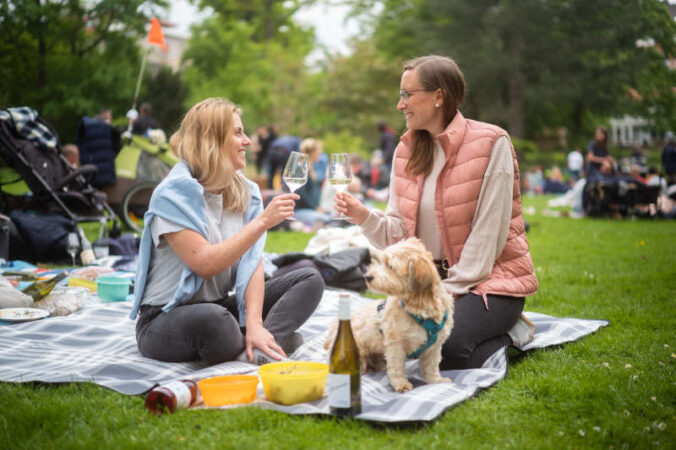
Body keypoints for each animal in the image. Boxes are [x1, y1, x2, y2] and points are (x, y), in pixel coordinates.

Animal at [324, 237, 452, 392]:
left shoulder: (434, 346)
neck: (419, 308)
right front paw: (401, 384)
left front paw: (436, 380)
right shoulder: (395, 344)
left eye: (390, 266)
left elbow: (431, 366)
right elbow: (396, 367)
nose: (367, 276)